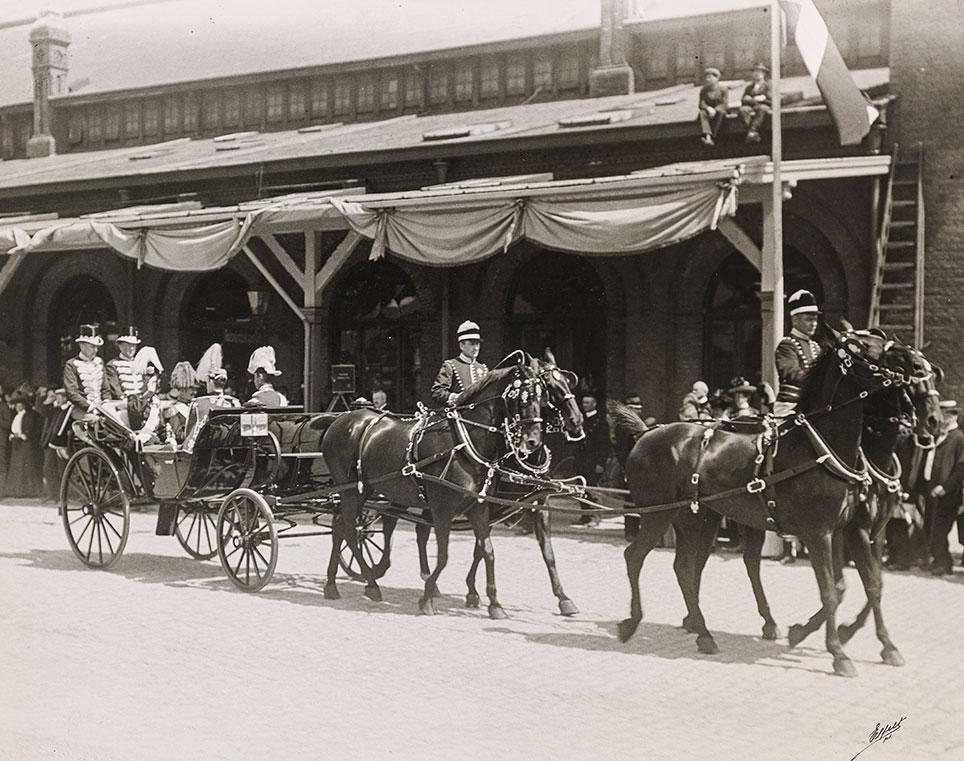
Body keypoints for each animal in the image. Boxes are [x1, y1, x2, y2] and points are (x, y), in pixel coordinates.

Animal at [324, 350, 584, 616]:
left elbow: (500, 551)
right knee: (353, 531)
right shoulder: (444, 508)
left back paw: (334, 584)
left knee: (347, 527)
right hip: (354, 492)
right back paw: (372, 582)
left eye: (544, 395)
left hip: (375, 491)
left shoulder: (498, 505)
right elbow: (447, 555)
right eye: (524, 396)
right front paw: (435, 597)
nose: (576, 421)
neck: (466, 442)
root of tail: (342, 420)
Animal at [620, 332, 908, 676]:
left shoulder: (845, 530)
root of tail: (646, 433)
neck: (819, 450)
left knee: (686, 568)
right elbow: (829, 591)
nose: (903, 373)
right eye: (861, 349)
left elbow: (863, 586)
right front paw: (838, 653)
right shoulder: (819, 533)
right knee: (636, 557)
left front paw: (883, 645)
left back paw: (703, 632)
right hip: (658, 515)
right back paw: (634, 622)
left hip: (695, 518)